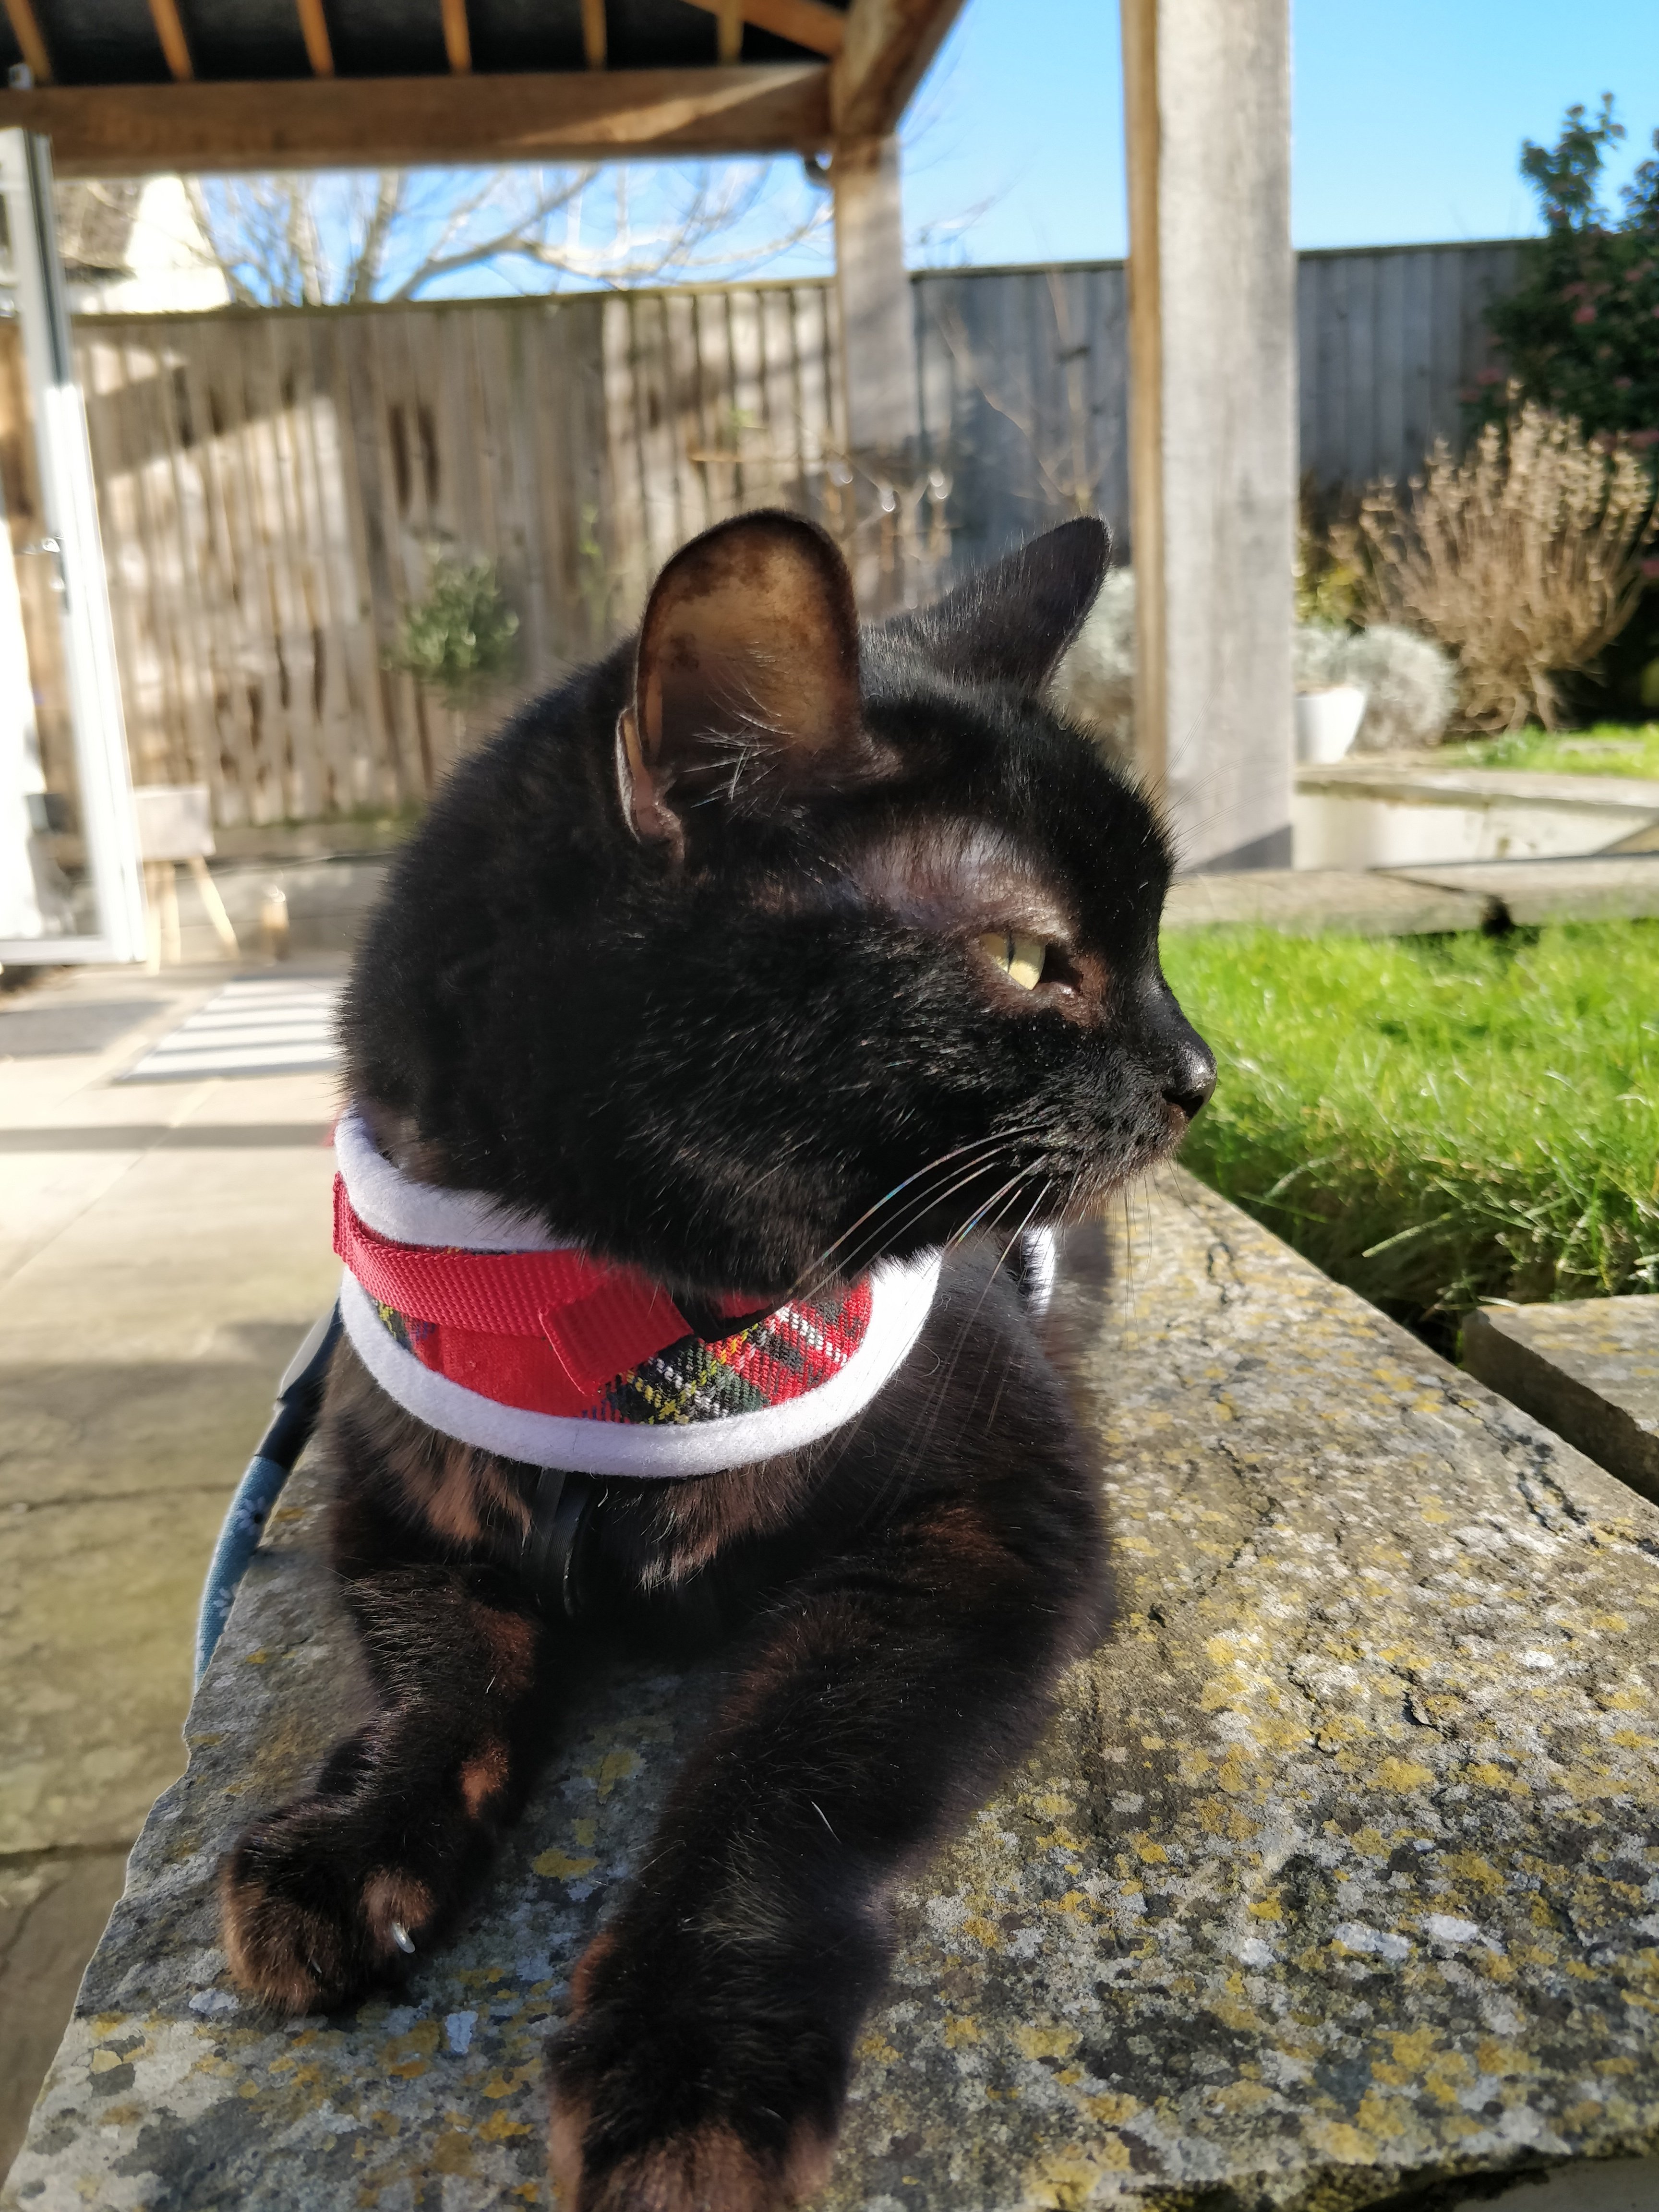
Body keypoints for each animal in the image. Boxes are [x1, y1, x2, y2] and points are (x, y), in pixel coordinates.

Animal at [221, 508, 1212, 2203]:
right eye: (1029, 957)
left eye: (1152, 939)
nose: (1203, 1070)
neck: (610, 1309)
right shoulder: (395, 1504)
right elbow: (436, 1686)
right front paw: (349, 1851)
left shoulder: (996, 1526)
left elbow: (782, 1780)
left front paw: (690, 2056)